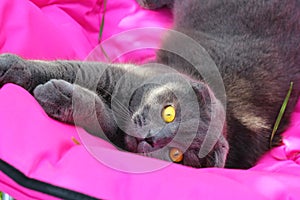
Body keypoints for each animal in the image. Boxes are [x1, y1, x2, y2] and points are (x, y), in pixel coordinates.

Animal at [0, 0, 298, 169]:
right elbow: (70, 68)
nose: (152, 138)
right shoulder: (119, 73)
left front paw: (58, 96)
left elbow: (103, 120)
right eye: (170, 113)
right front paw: (11, 66)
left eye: (178, 155)